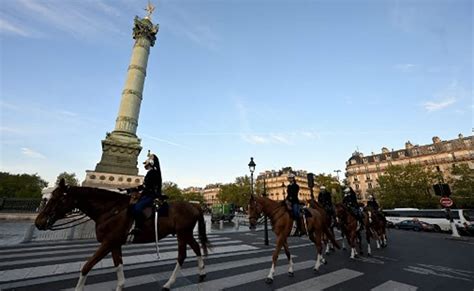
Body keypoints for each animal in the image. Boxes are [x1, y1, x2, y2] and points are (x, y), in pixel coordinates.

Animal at [35, 180, 209, 291]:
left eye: (56, 199)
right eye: (49, 198)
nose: (38, 222)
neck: (110, 210)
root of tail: (194, 205)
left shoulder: (107, 242)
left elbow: (86, 266)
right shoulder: (114, 243)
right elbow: (118, 264)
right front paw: (120, 286)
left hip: (182, 234)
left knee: (182, 256)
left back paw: (168, 284)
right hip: (186, 233)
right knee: (196, 248)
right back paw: (201, 274)